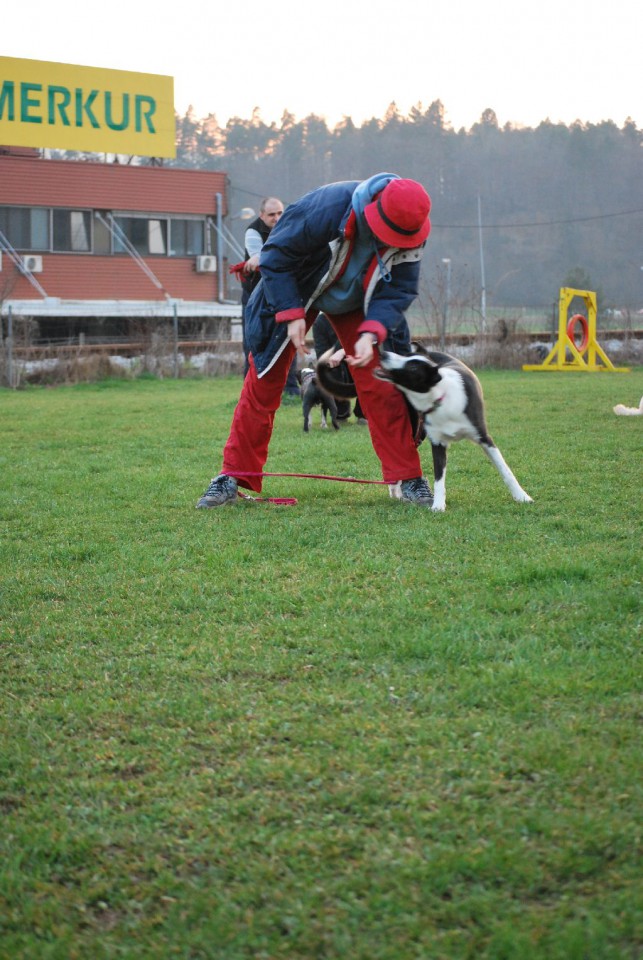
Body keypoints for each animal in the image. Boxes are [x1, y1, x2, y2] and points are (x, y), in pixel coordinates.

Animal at [316, 344, 532, 512]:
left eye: (412, 367)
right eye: (406, 356)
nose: (383, 354)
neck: (439, 397)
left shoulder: (484, 438)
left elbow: (505, 470)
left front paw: (522, 496)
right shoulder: (437, 443)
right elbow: (438, 479)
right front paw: (438, 505)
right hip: (414, 428)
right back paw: (395, 489)